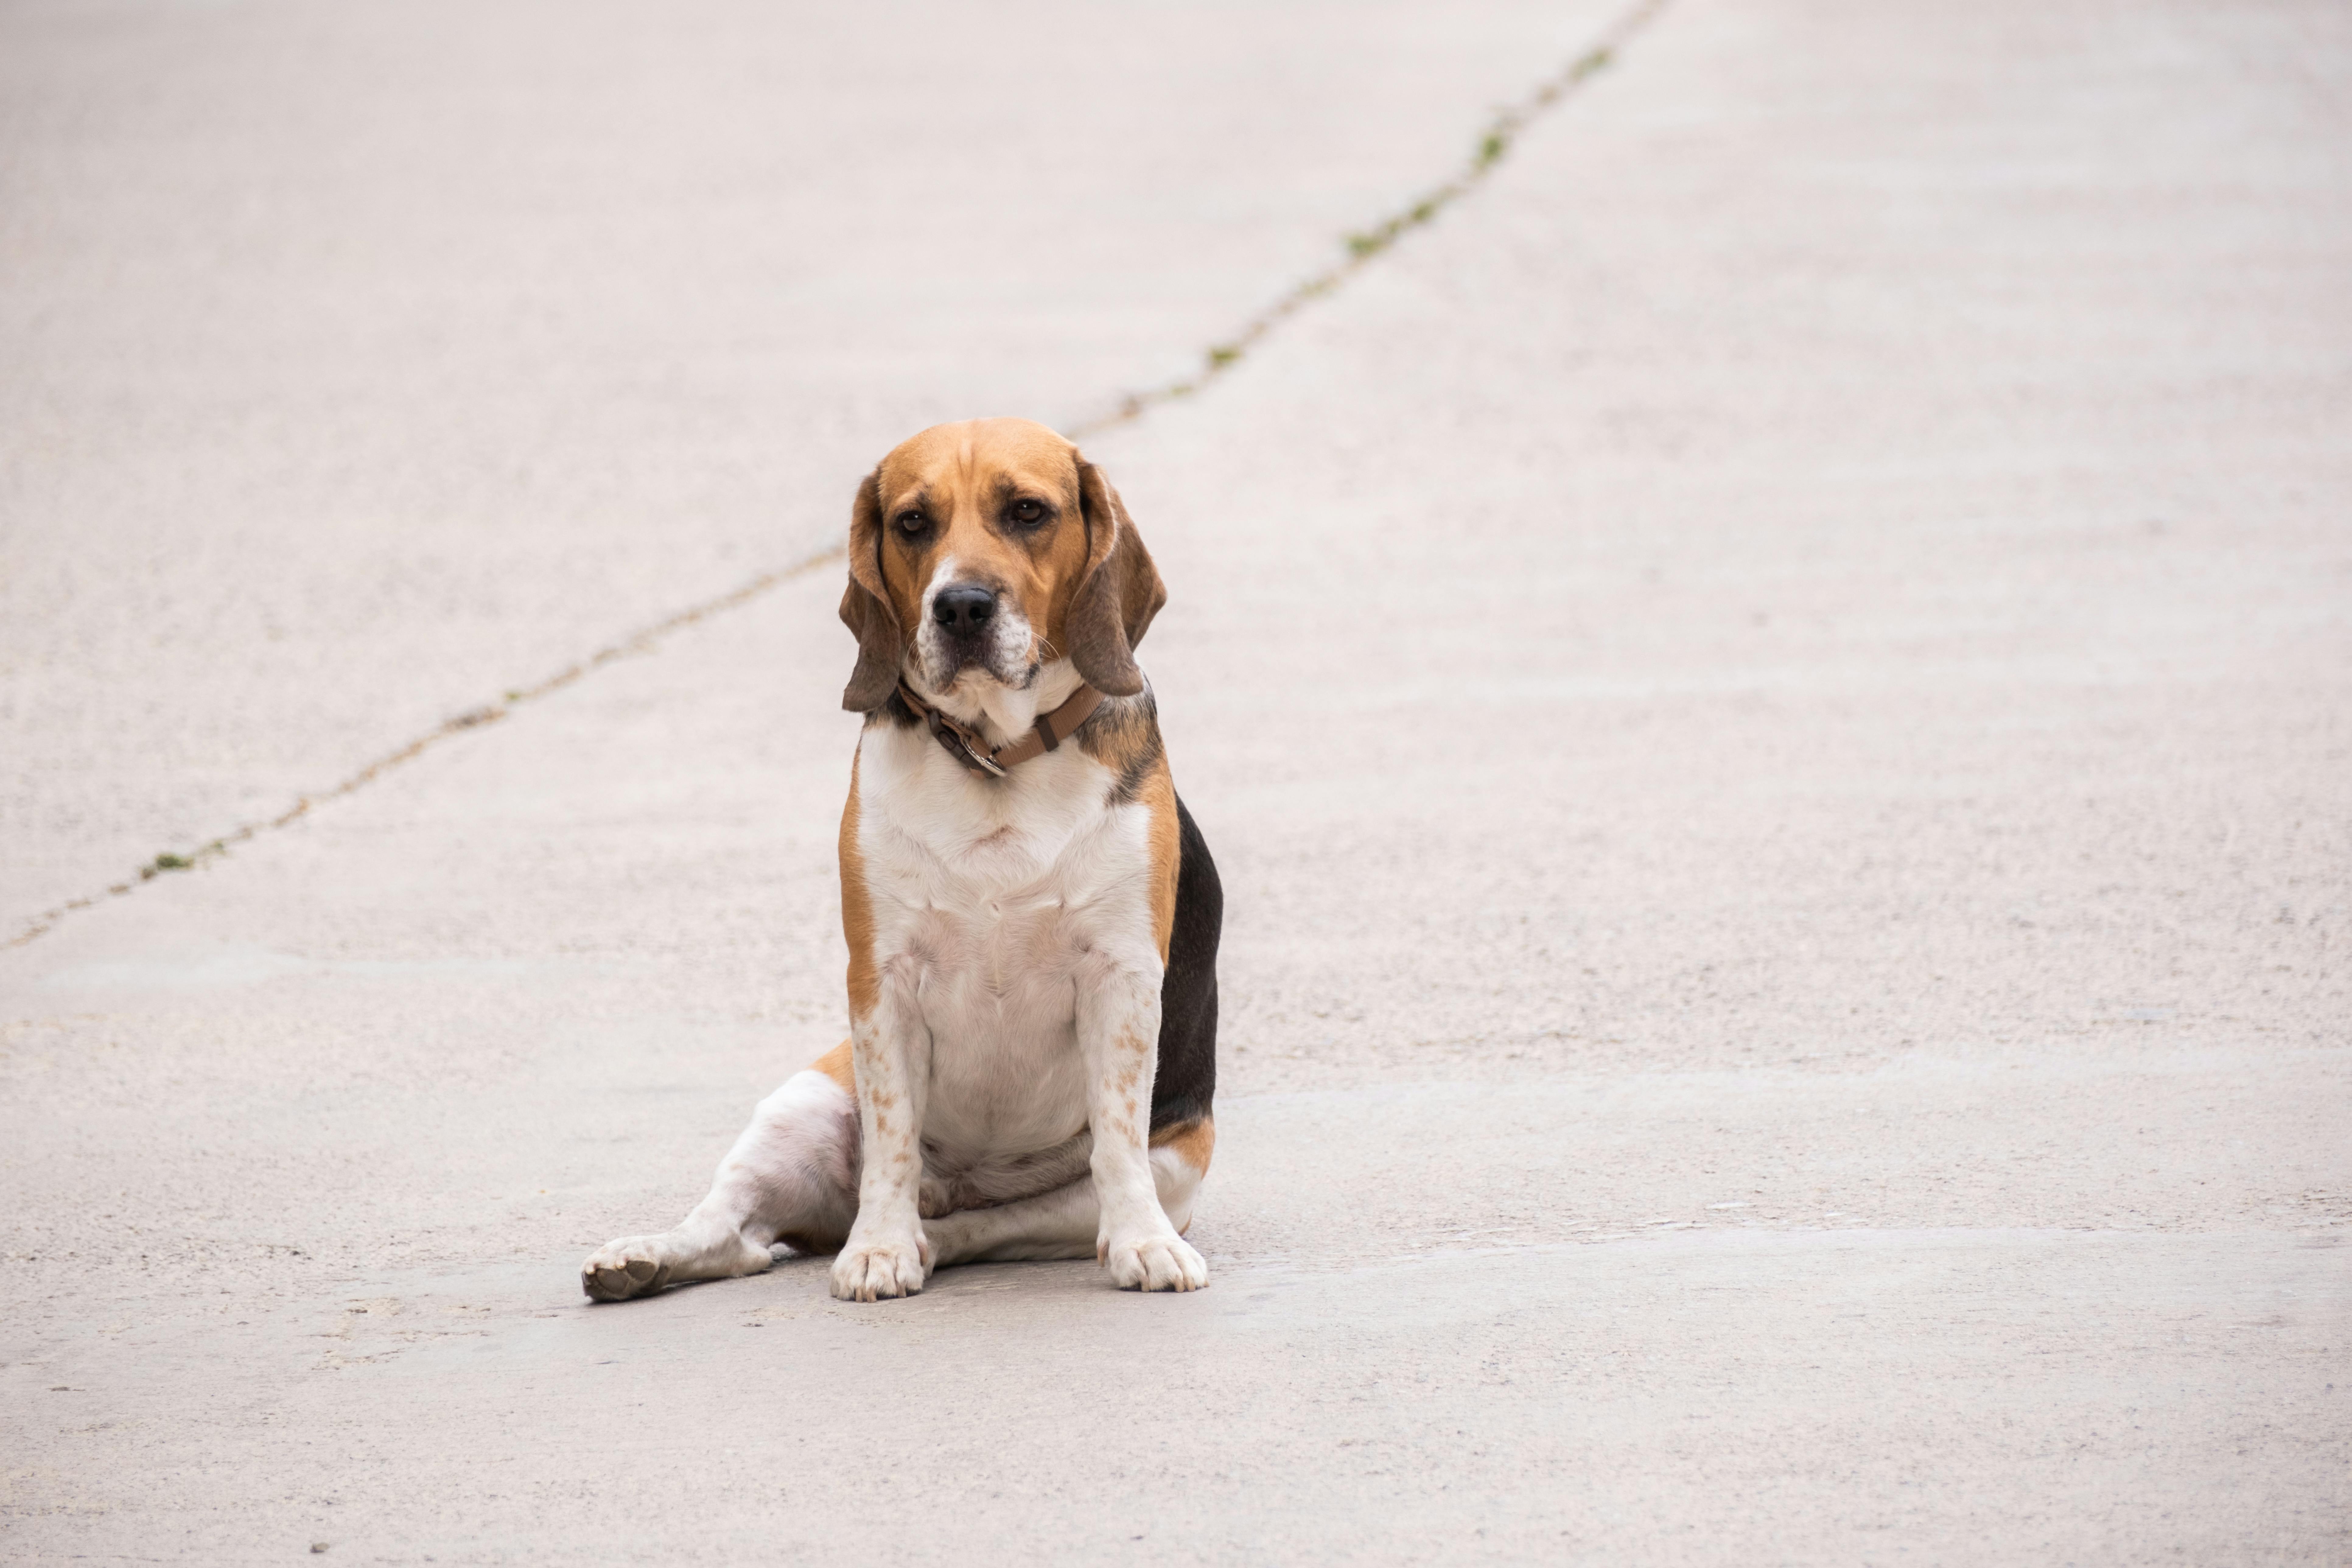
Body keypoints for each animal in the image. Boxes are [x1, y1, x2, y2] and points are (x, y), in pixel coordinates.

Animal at [579, 414, 1223, 1297]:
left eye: (1028, 511)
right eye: (912, 522)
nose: (960, 606)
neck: (993, 759)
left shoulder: (1120, 979)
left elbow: (1118, 1136)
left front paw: (1144, 1245)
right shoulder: (882, 981)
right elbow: (893, 1139)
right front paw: (878, 1247)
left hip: (1169, 1170)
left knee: (978, 1228)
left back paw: (941, 1237)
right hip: (801, 1104)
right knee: (735, 1234)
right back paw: (644, 1259)